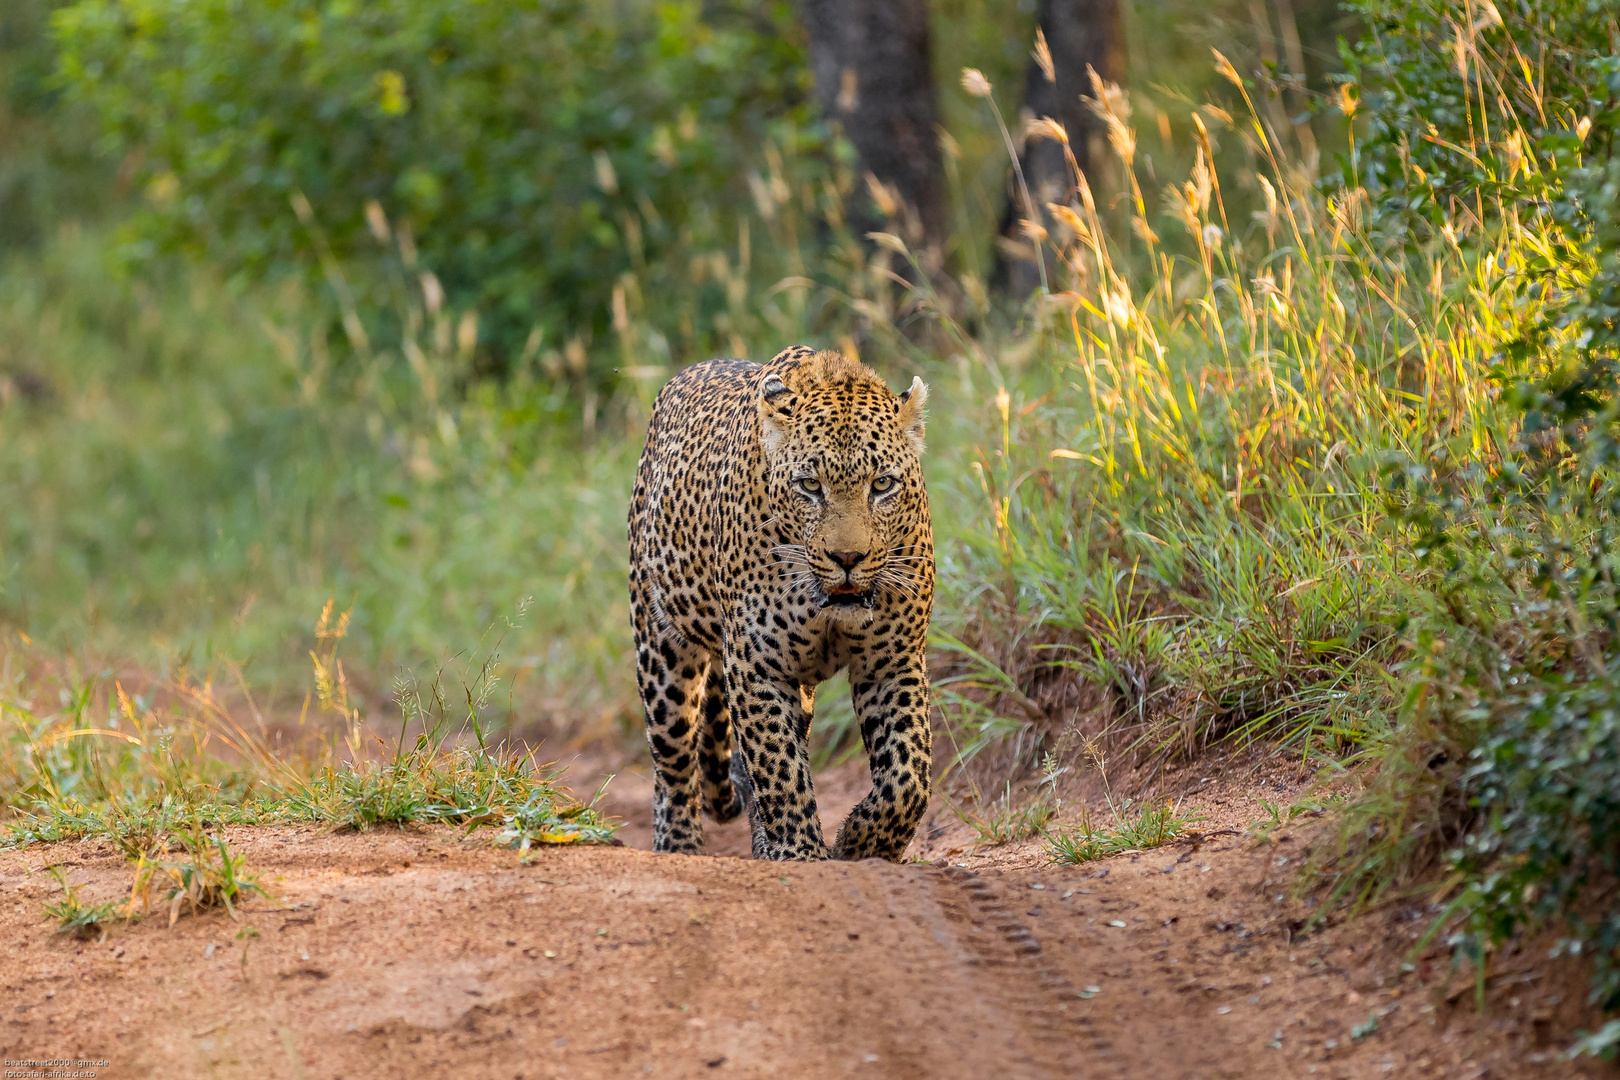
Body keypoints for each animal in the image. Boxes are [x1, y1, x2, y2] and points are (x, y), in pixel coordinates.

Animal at [631, 346, 939, 861]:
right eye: (810, 486)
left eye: (882, 485)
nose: (847, 558)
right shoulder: (756, 665)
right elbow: (779, 769)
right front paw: (803, 854)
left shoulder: (891, 662)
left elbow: (907, 777)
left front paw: (860, 845)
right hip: (662, 651)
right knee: (673, 763)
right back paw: (679, 845)